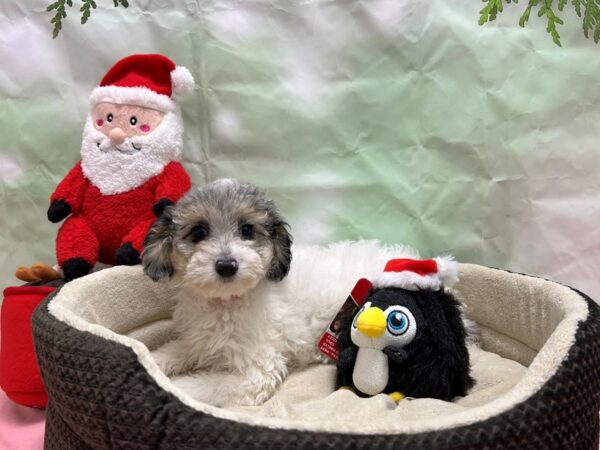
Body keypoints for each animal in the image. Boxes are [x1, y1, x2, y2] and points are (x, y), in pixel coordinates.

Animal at [142, 179, 422, 408]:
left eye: (246, 230)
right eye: (199, 232)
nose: (227, 265)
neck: (225, 302)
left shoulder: (257, 371)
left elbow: (198, 386)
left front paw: (169, 386)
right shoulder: (196, 340)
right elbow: (174, 350)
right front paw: (151, 361)